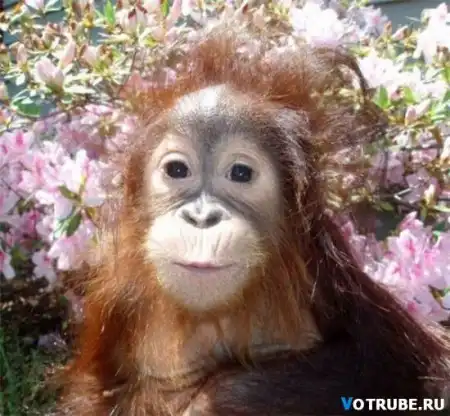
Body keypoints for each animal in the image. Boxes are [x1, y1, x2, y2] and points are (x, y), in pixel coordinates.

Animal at [56, 20, 450, 416]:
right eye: (177, 170)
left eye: (241, 173)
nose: (202, 217)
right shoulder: (112, 299)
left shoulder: (329, 272)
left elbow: (393, 363)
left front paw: (213, 401)